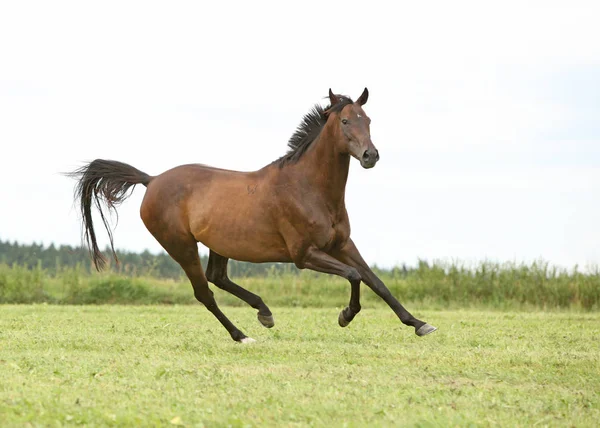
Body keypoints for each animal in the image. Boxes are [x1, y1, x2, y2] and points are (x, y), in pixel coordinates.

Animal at [69, 88, 436, 342]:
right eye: (346, 120)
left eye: (368, 120)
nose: (370, 155)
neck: (308, 188)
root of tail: (152, 180)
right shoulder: (304, 255)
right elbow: (355, 276)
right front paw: (345, 315)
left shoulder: (343, 244)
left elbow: (376, 281)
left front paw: (420, 324)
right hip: (181, 246)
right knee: (204, 292)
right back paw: (242, 335)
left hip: (218, 243)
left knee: (217, 277)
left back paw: (264, 313)